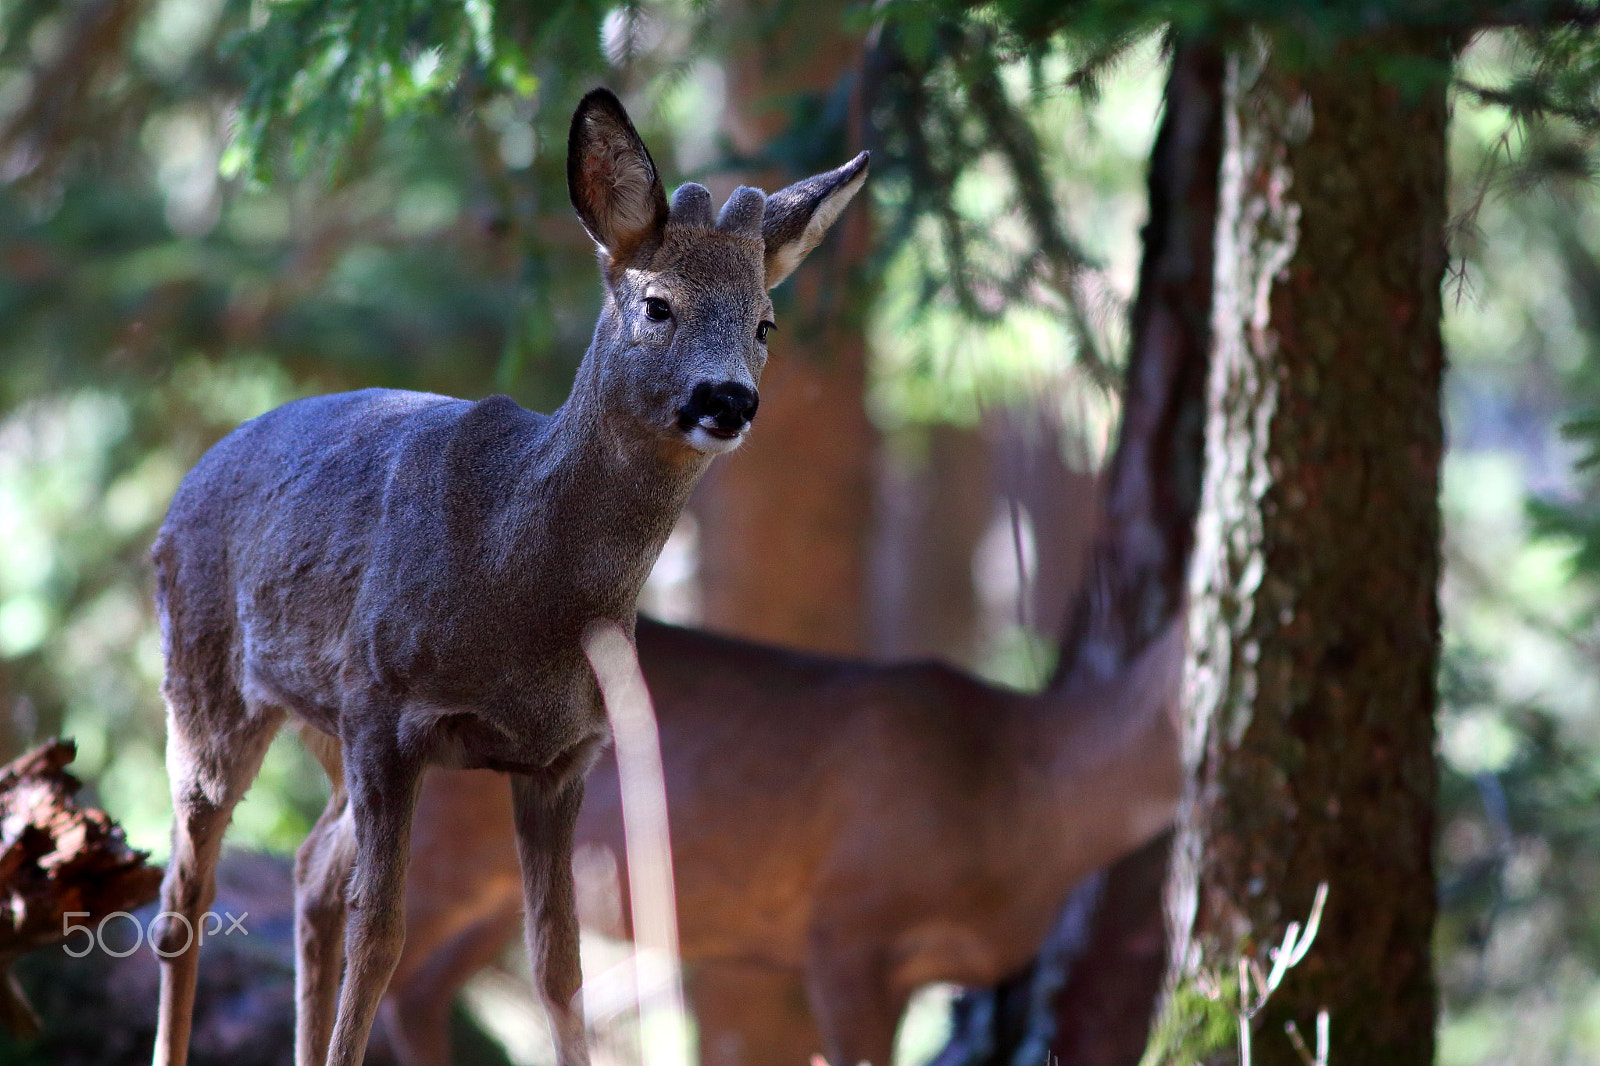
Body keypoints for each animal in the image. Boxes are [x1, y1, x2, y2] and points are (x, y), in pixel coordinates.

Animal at [150, 87, 870, 1062]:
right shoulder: (384, 709)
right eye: (657, 304)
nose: (729, 399)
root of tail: (187, 482)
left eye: (766, 322)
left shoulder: (564, 755)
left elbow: (557, 966)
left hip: (321, 732)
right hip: (207, 683)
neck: (520, 586)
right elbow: (382, 934)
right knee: (184, 896)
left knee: (306, 870)